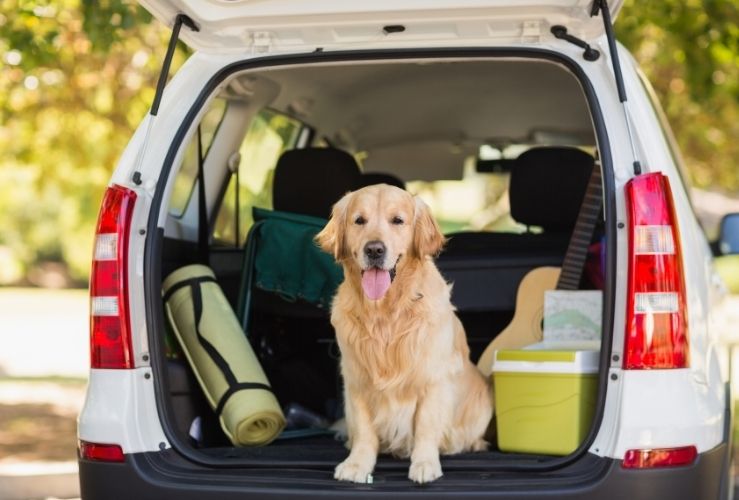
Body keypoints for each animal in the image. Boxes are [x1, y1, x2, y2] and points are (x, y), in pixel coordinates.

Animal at [316, 185, 494, 484]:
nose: (374, 249)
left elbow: (425, 425)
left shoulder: (433, 379)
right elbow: (364, 430)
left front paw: (424, 464)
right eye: (359, 220)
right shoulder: (356, 379)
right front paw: (357, 464)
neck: (385, 314)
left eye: (397, 220)